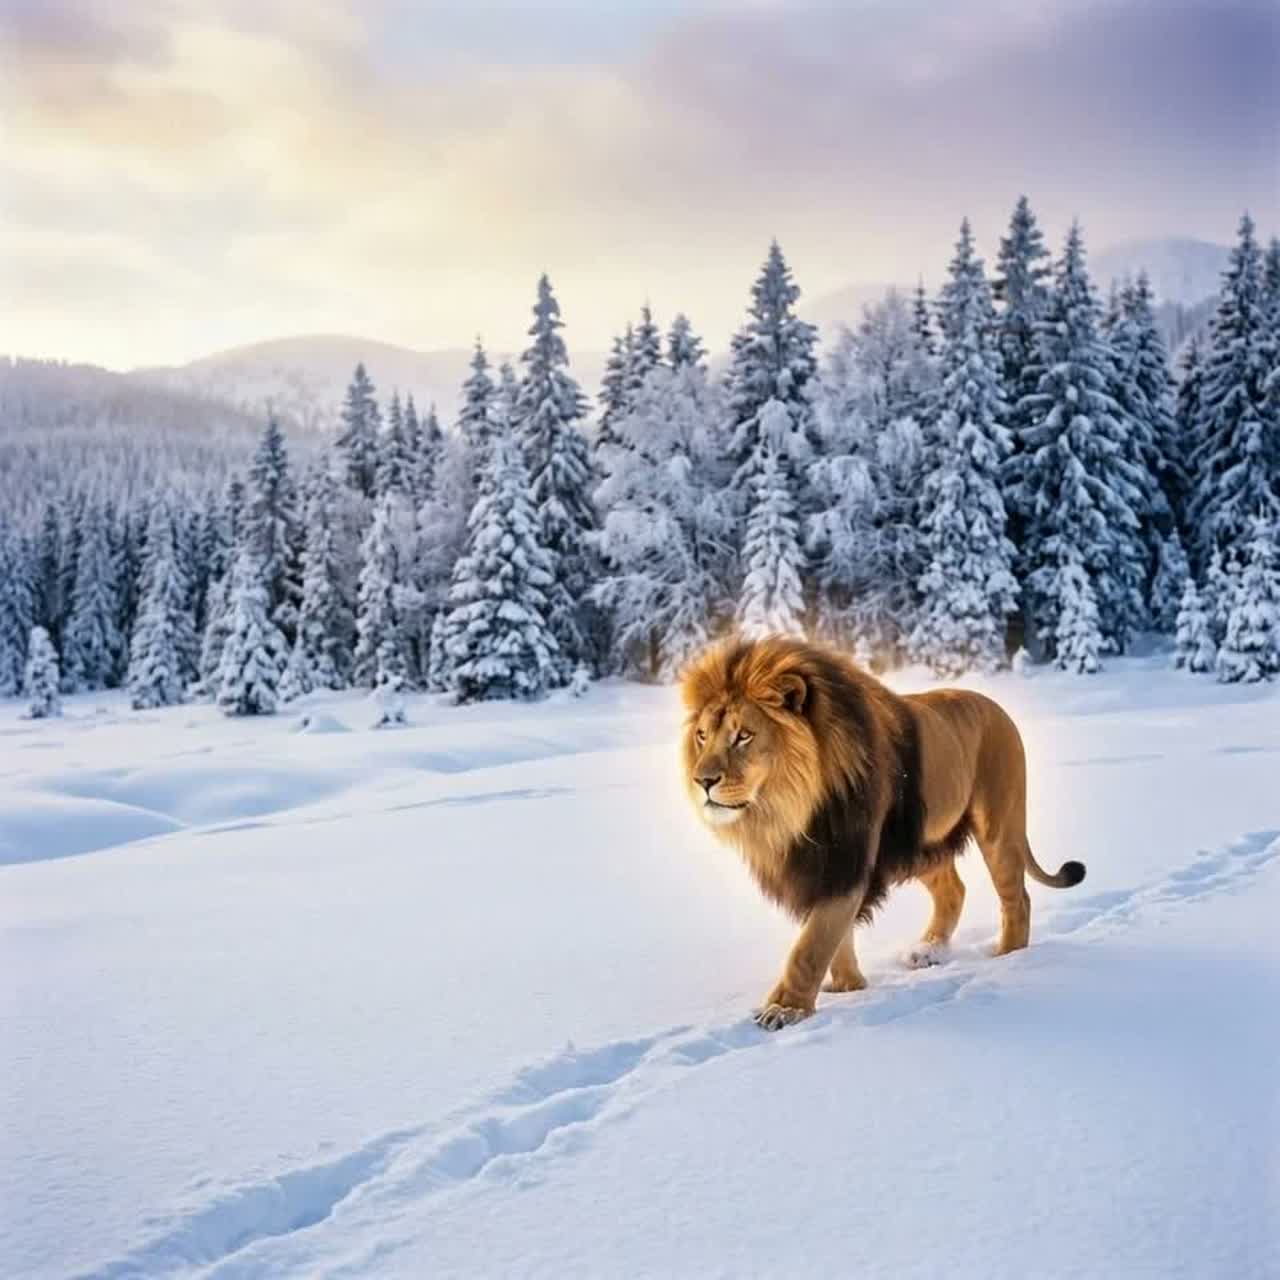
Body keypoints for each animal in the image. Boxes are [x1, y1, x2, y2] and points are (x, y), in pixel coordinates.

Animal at [681, 634, 1085, 1031]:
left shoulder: (848, 859)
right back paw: (927, 951)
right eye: (702, 736)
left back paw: (1007, 958)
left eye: (743, 736)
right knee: (954, 890)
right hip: (922, 844)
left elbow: (812, 944)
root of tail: (996, 707)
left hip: (999, 827)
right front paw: (848, 987)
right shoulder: (823, 868)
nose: (702, 781)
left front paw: (785, 1009)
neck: (787, 811)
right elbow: (837, 939)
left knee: (1017, 898)